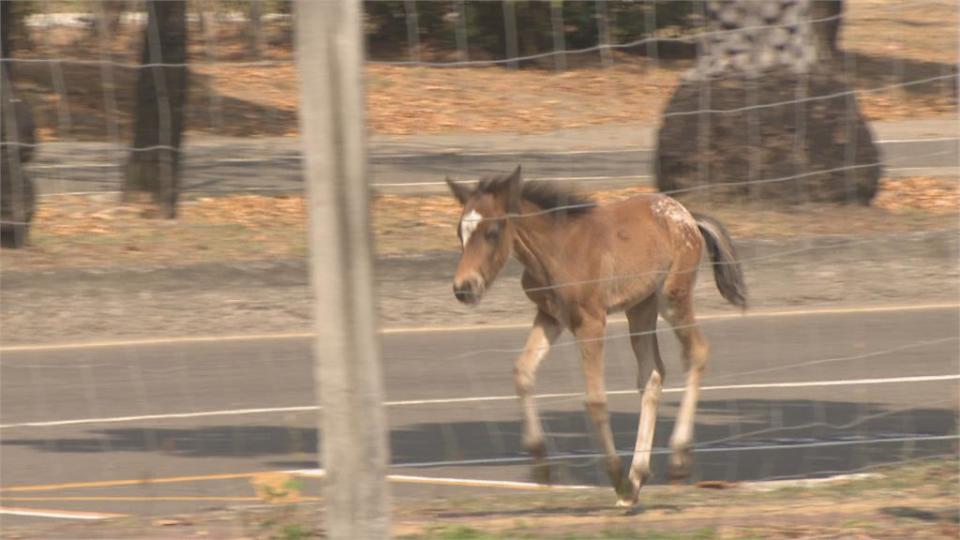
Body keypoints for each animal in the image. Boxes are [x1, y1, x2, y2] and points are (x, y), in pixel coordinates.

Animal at [446, 166, 748, 506]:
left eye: (493, 232)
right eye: (460, 233)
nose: (464, 288)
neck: (555, 250)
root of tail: (687, 216)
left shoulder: (591, 322)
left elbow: (595, 399)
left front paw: (617, 478)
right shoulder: (551, 316)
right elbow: (522, 372)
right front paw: (541, 464)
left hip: (673, 298)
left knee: (696, 351)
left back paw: (675, 462)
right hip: (640, 308)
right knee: (652, 374)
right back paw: (637, 477)